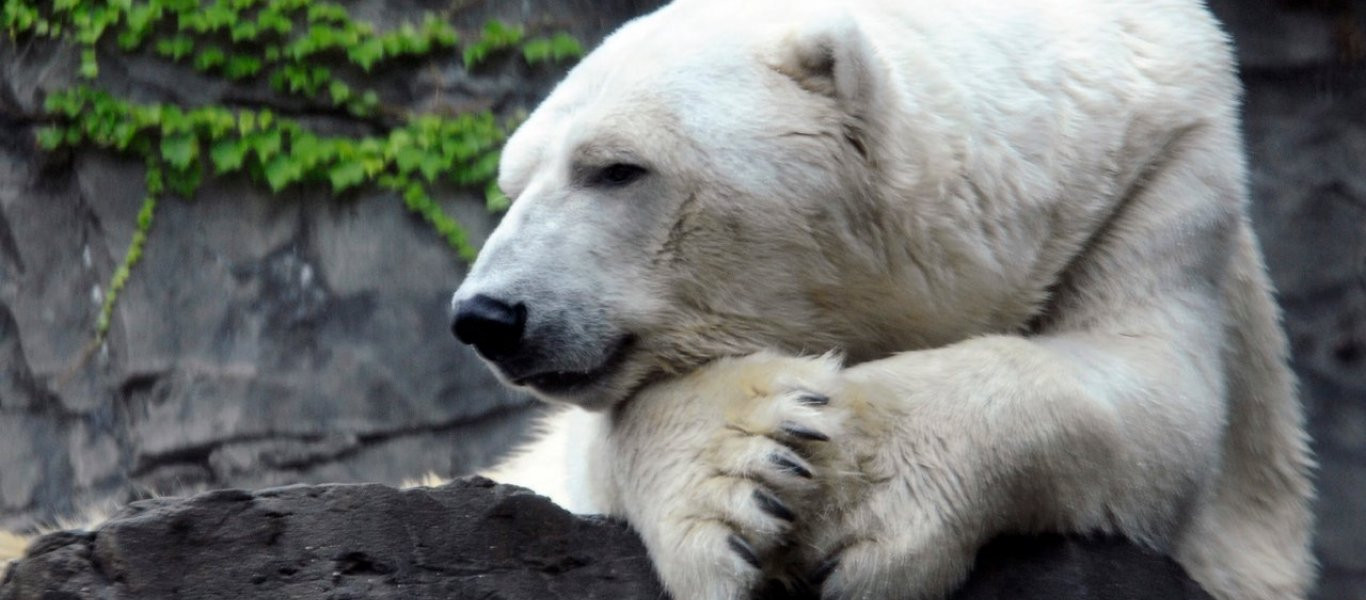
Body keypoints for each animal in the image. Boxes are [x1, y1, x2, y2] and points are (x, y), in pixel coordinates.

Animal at [448, 1, 1311, 600]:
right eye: (514, 186)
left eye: (617, 168)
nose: (487, 317)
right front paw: (751, 471)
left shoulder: (1157, 181)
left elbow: (1155, 403)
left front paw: (863, 495)